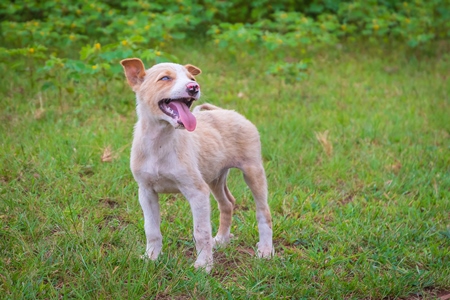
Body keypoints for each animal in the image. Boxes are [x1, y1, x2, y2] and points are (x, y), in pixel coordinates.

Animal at [120, 57, 274, 270]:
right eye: (165, 78)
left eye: (191, 78)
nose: (194, 87)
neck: (160, 141)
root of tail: (227, 112)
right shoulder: (146, 192)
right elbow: (151, 229)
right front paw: (151, 257)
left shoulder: (197, 192)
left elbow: (201, 232)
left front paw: (203, 265)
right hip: (215, 177)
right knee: (227, 204)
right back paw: (222, 240)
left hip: (252, 171)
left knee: (263, 212)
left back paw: (266, 250)